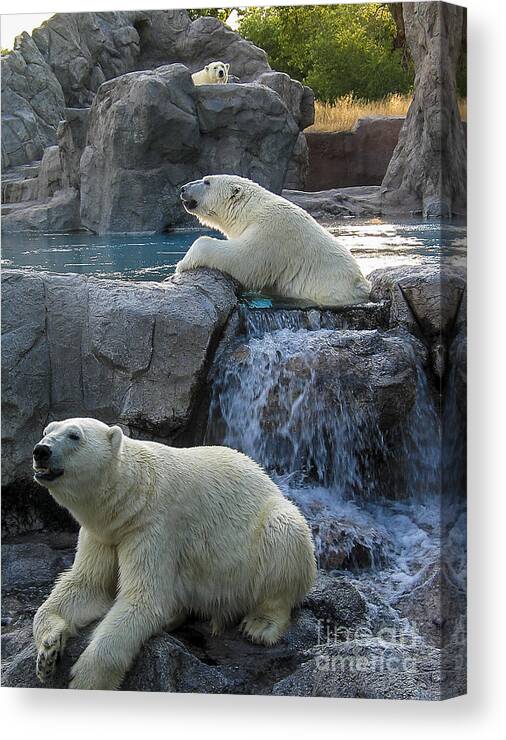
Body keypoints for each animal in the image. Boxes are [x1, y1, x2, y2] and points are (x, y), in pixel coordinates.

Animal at [30, 420, 316, 692]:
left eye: (74, 435)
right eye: (46, 431)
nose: (41, 450)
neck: (133, 496)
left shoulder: (156, 526)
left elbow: (143, 599)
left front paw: (85, 680)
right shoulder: (103, 535)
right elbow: (86, 586)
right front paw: (47, 652)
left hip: (267, 532)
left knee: (284, 538)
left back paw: (259, 625)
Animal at [177, 175, 372, 304]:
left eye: (207, 181)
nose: (183, 188)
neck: (251, 210)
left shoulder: (272, 231)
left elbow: (243, 261)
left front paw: (182, 264)